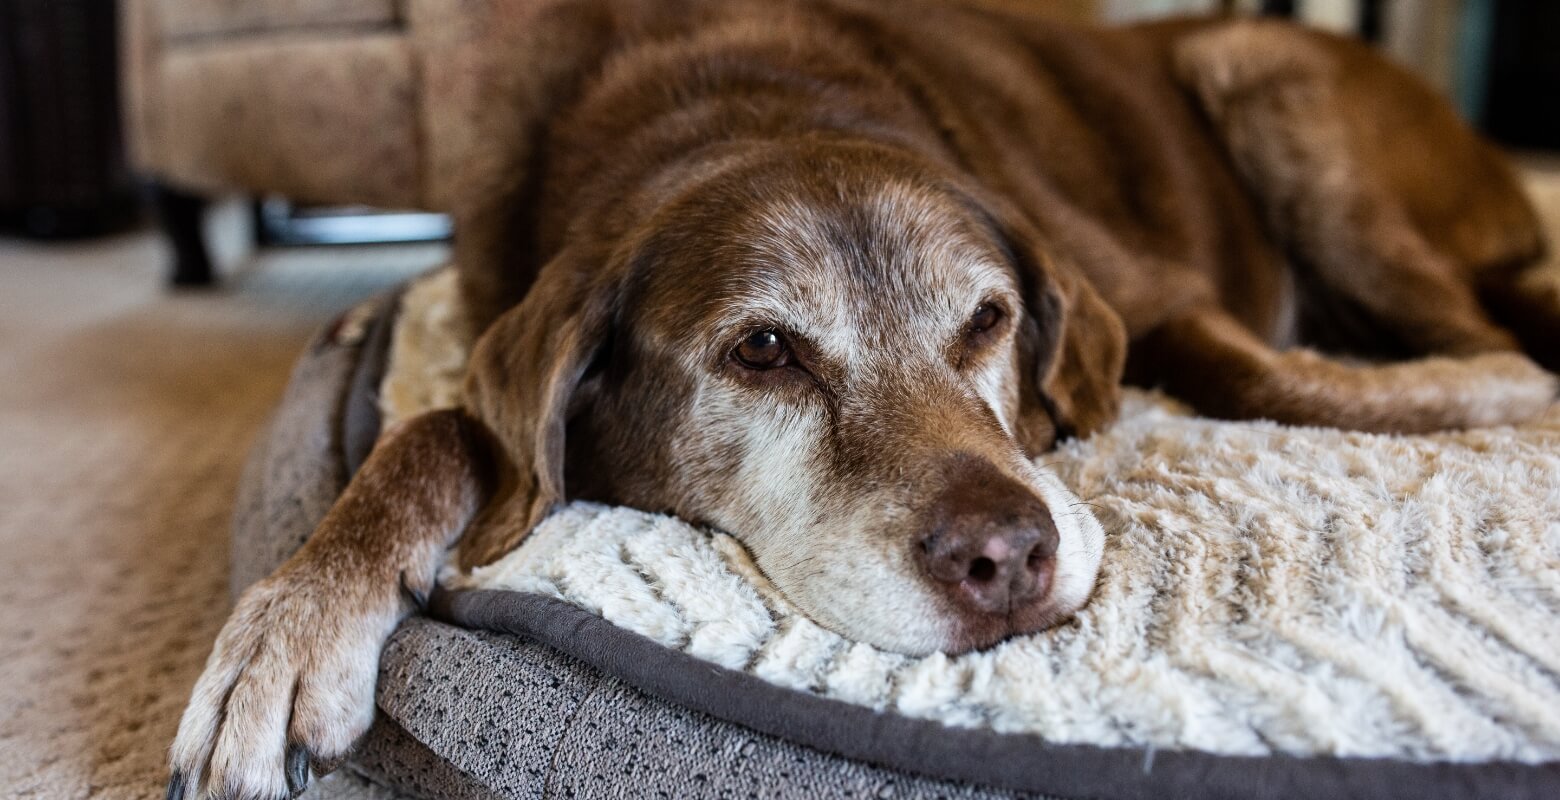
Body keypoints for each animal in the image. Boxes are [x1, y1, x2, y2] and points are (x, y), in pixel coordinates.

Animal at [164, 0, 1553, 792]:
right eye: (766, 351)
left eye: (989, 320)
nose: (1007, 559)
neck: (737, 101)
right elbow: (442, 429)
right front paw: (288, 629)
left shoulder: (1148, 291)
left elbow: (1252, 369)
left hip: (1270, 83)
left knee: (1482, 328)